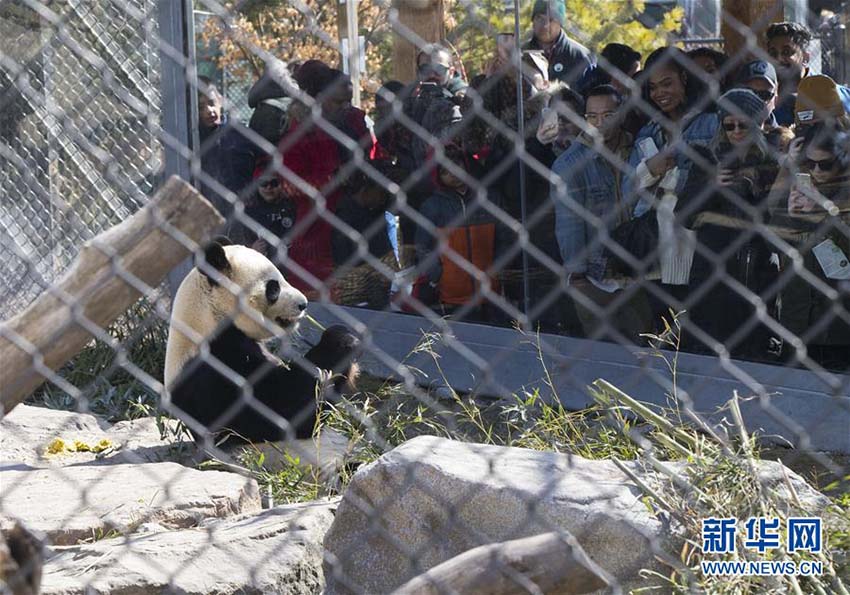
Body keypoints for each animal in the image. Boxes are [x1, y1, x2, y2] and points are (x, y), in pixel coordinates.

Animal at [163, 237, 358, 442]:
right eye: (273, 288)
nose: (303, 304)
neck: (208, 319)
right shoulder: (219, 365)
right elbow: (285, 406)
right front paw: (341, 342)